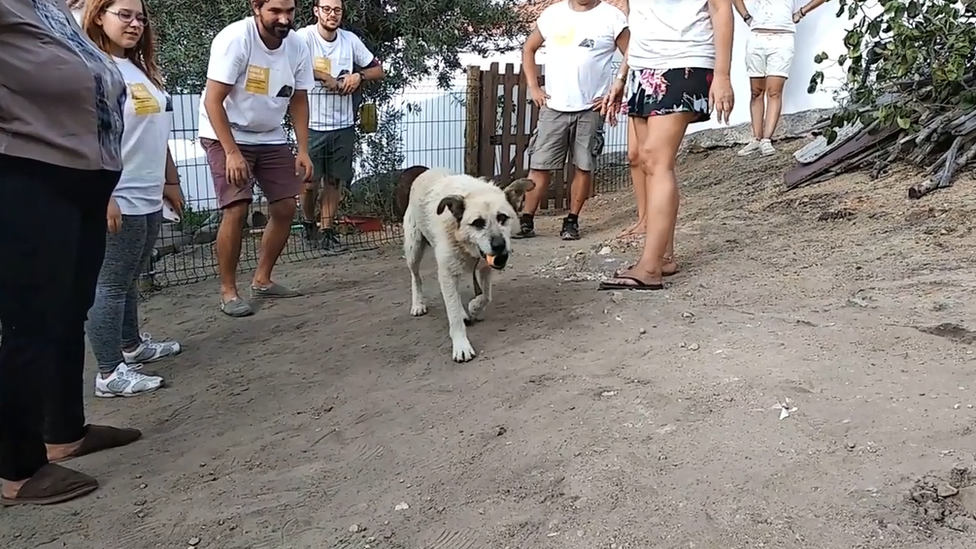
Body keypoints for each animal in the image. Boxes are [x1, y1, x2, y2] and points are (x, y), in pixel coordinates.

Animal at [402, 168, 532, 364]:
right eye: (477, 223)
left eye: (502, 218)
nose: (500, 247)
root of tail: (426, 171)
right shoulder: (447, 273)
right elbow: (453, 313)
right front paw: (461, 346)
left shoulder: (485, 268)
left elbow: (486, 296)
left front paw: (474, 307)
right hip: (414, 249)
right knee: (415, 276)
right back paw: (418, 304)